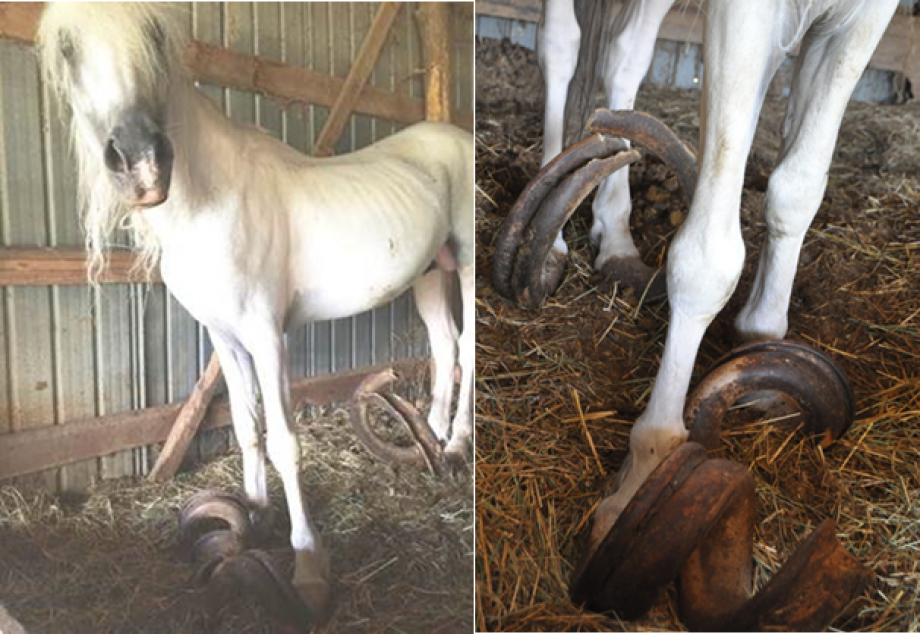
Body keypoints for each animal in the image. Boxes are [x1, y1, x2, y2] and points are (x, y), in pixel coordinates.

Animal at [36, 0, 474, 612]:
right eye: (69, 48)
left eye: (154, 37)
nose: (142, 165)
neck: (210, 202)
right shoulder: (223, 335)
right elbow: (247, 427)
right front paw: (255, 515)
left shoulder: (267, 334)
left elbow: (285, 442)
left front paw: (309, 568)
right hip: (432, 274)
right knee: (446, 345)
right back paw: (431, 436)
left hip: (469, 265)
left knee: (470, 350)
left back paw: (456, 443)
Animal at [536, 0, 904, 552]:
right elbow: (708, 255)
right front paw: (648, 469)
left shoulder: (865, 18)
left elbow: (796, 187)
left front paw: (760, 349)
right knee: (561, 43)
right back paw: (551, 227)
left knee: (624, 58)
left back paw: (618, 239)